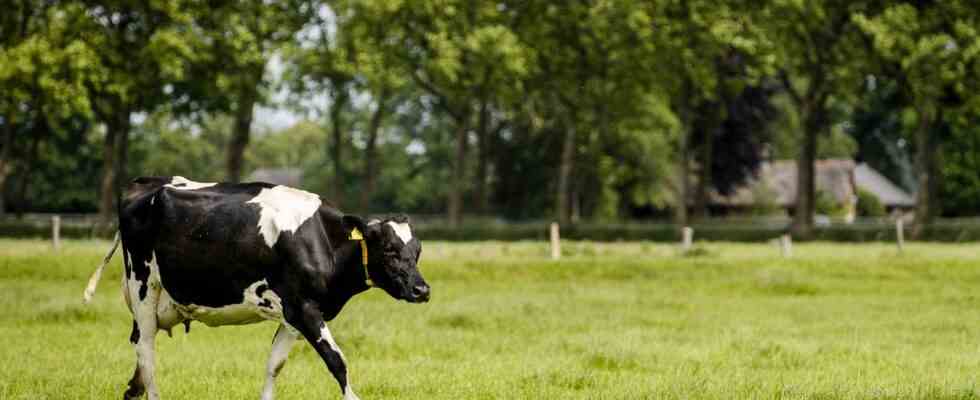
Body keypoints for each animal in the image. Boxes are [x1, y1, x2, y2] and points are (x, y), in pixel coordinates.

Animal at [85, 177, 432, 400]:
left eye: (417, 250)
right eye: (389, 249)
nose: (422, 290)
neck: (323, 240)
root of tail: (145, 183)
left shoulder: (295, 315)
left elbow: (274, 365)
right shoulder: (304, 309)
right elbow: (338, 362)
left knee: (140, 351)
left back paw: (133, 390)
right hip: (144, 285)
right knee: (146, 351)